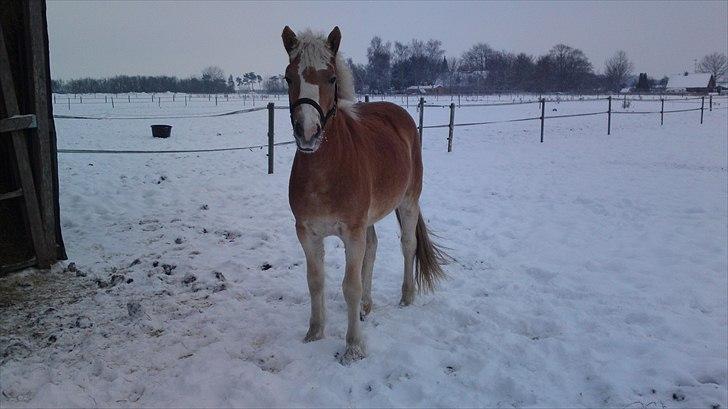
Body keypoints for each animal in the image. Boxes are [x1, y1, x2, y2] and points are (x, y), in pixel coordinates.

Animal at [280, 26, 446, 364]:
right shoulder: (307, 233)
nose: (307, 132)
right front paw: (314, 333)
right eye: (289, 78)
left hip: (408, 202)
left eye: (331, 78)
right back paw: (366, 308)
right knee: (373, 249)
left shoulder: (352, 232)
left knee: (407, 246)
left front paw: (354, 347)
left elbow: (350, 286)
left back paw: (406, 297)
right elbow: (315, 282)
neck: (325, 170)